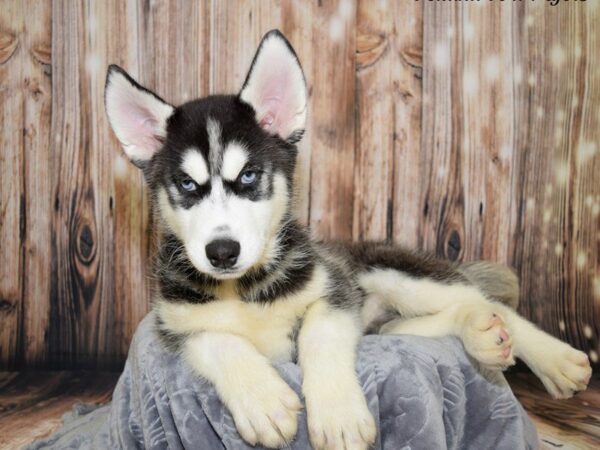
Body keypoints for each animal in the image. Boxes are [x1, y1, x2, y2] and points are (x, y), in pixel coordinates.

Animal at [105, 29, 592, 448]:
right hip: (386, 323)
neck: (243, 290)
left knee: (483, 300)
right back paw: (480, 336)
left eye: (248, 176)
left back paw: (551, 357)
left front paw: (338, 416)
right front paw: (263, 400)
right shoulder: (171, 327)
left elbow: (317, 333)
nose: (222, 252)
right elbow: (216, 340)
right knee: (427, 323)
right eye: (187, 185)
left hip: (390, 270)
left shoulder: (334, 288)